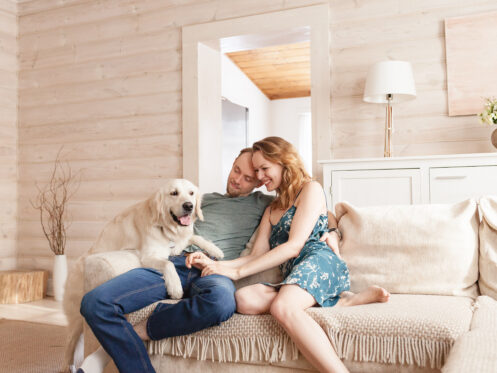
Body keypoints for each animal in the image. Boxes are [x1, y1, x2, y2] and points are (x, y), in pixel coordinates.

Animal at [61, 179, 223, 370]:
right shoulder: (148, 255)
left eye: (191, 193)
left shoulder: (176, 245)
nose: (189, 206)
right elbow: (168, 264)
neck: (165, 228)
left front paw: (215, 250)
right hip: (75, 319)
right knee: (68, 347)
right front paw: (175, 288)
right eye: (174, 193)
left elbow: (195, 238)